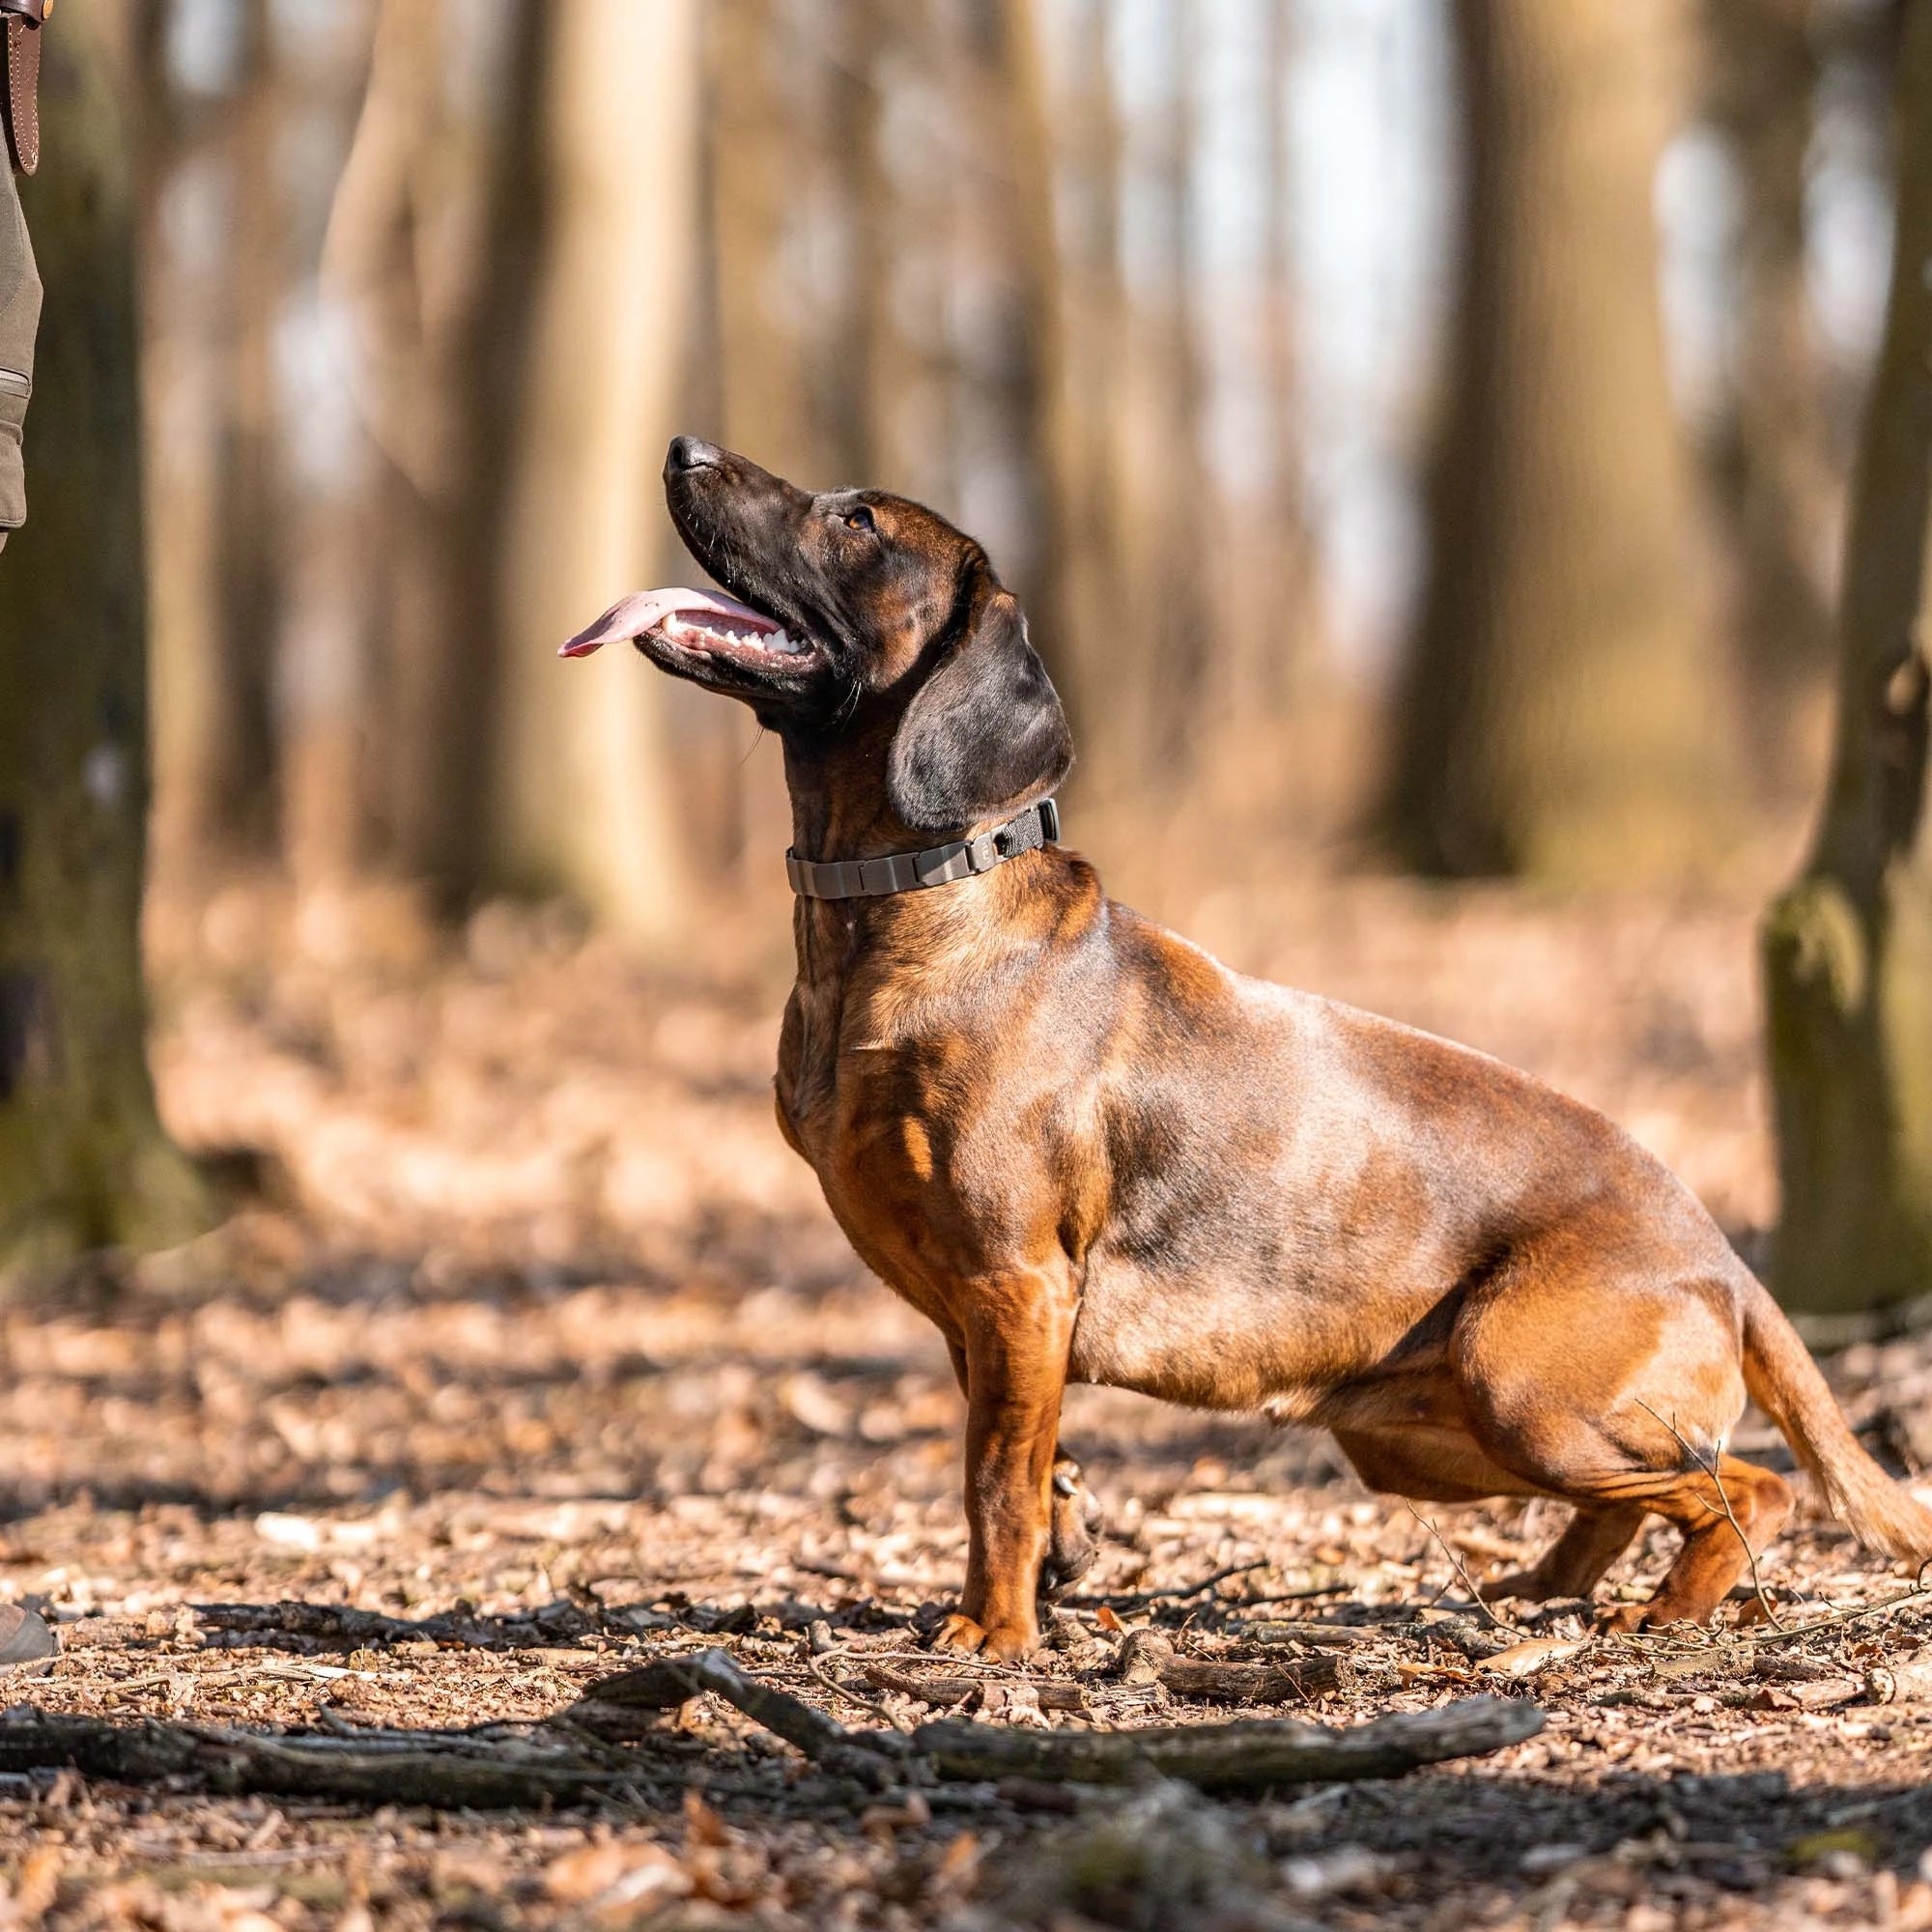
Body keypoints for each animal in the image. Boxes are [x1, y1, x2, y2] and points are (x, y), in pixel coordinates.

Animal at [564, 442, 1932, 1662]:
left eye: (856, 521)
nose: (683, 445)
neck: (910, 912)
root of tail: (1723, 1258)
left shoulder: (1015, 1283)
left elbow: (993, 1483)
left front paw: (991, 1635)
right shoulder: (991, 1324)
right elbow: (1030, 1471)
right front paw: (1043, 1587)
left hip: (1519, 1385)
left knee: (1747, 1490)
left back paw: (1661, 1609)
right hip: (1420, 1437)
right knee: (1630, 1505)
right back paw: (1535, 1592)